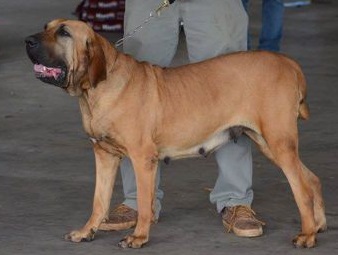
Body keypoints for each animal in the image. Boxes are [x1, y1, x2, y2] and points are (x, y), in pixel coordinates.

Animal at [25, 20, 326, 249]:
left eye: (64, 32)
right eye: (46, 27)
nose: (28, 41)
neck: (96, 89)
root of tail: (289, 63)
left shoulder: (142, 159)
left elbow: (144, 202)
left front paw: (138, 237)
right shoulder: (104, 155)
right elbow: (99, 200)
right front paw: (86, 231)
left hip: (278, 141)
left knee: (301, 188)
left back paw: (307, 234)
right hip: (269, 143)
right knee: (311, 178)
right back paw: (320, 224)